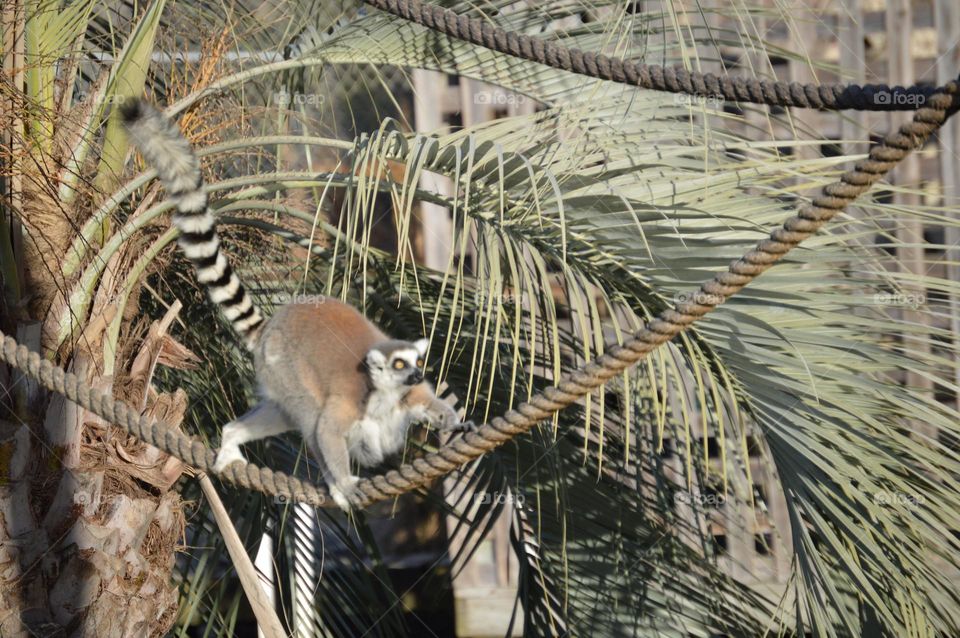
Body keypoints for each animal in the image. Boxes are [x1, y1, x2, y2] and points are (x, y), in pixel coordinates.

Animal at [120, 99, 472, 509]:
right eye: (400, 364)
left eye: (416, 363)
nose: (416, 375)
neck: (383, 395)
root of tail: (275, 324)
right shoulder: (349, 400)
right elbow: (324, 431)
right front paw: (342, 484)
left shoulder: (408, 397)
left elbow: (427, 406)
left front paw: (456, 423)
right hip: (287, 368)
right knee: (308, 416)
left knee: (282, 413)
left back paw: (232, 437)